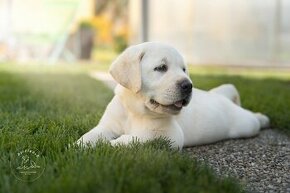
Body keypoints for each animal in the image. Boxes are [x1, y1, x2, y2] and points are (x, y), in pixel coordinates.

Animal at [77, 41, 270, 149]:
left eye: (184, 69)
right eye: (161, 68)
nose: (188, 85)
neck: (135, 111)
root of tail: (221, 97)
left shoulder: (168, 136)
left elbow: (136, 138)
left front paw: (111, 145)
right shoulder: (107, 126)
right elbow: (90, 135)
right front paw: (78, 146)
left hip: (246, 125)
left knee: (252, 118)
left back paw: (263, 118)